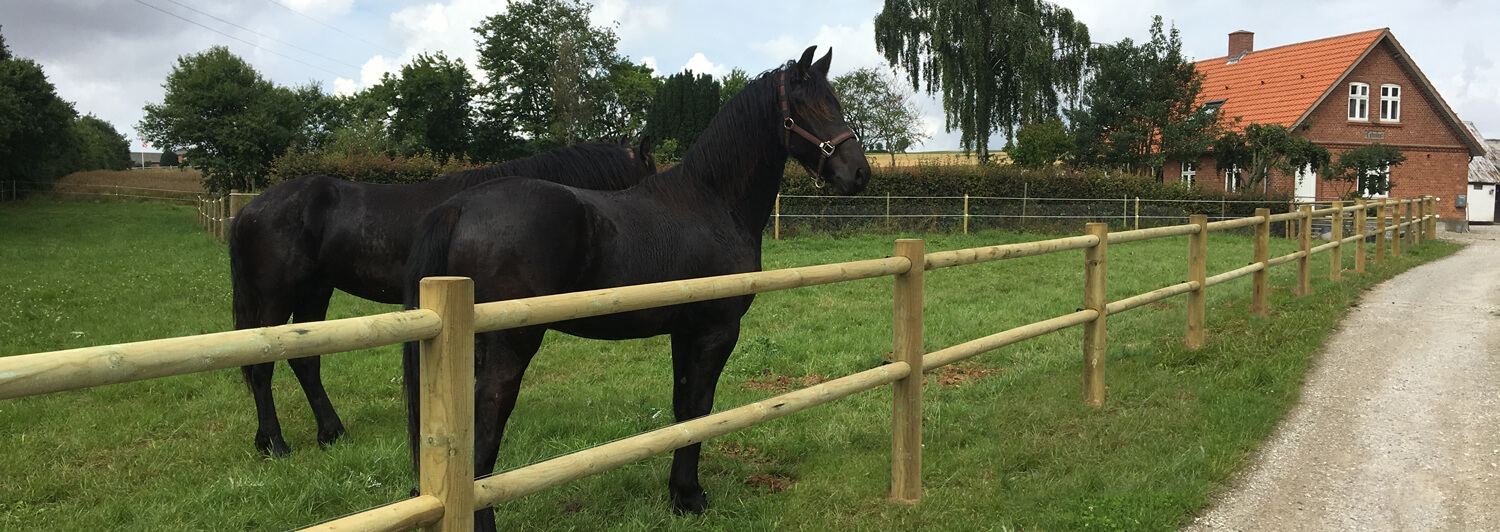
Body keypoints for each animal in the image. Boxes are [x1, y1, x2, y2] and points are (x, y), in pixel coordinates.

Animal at [231, 141, 654, 458]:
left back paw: (331, 434)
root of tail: (248, 209)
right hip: (278, 295)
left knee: (305, 362)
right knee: (262, 365)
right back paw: (274, 443)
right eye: (649, 174)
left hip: (315, 291)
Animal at [405, 46, 876, 524]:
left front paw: (679, 495)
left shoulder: (685, 332)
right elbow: (700, 407)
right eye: (805, 106)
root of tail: (460, 207)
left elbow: (683, 408)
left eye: (834, 102)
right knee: (484, 439)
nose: (859, 173)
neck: (713, 201)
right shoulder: (716, 330)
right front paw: (690, 496)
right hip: (512, 346)